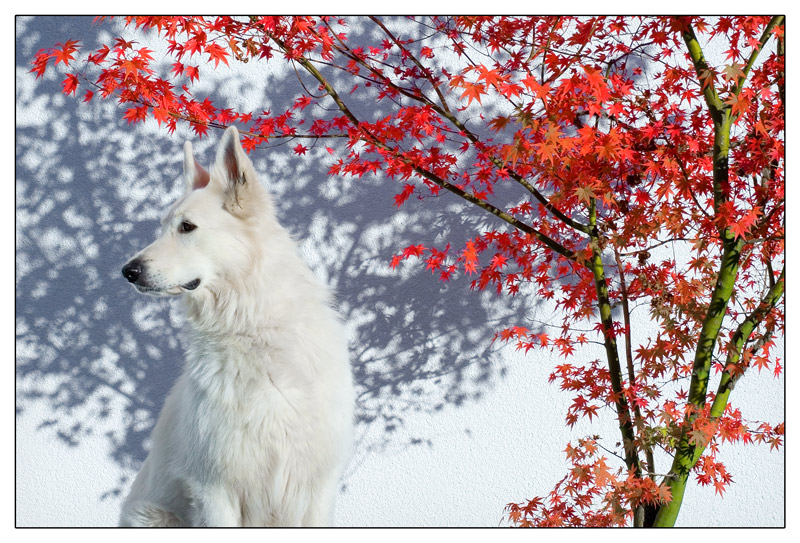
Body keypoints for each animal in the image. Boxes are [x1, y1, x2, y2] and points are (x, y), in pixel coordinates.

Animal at [118, 127, 354, 528]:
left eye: (186, 227)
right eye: (163, 228)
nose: (128, 271)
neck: (253, 332)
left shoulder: (318, 484)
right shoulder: (215, 488)